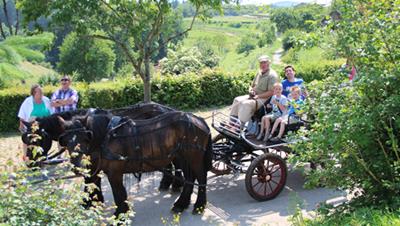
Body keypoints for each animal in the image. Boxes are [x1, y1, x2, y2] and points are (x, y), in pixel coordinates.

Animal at [59, 111, 212, 215]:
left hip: (194, 157)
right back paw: (181, 204)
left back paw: (199, 205)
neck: (106, 136)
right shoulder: (96, 167)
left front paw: (120, 214)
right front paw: (92, 203)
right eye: (66, 142)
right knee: (189, 178)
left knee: (201, 177)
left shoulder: (114, 172)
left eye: (85, 138)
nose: (77, 166)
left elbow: (119, 193)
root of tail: (199, 120)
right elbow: (92, 183)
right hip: (183, 157)